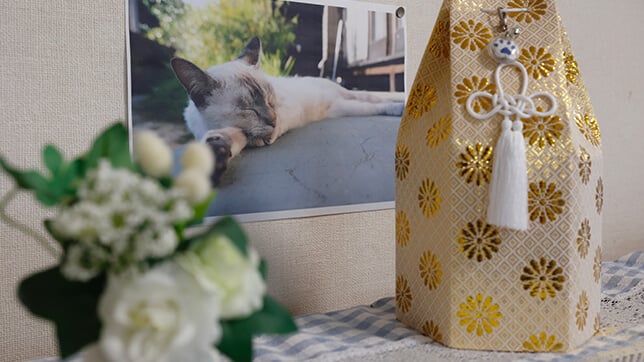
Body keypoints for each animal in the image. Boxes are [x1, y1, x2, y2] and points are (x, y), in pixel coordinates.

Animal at [171, 36, 402, 185]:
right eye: (249, 109)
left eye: (270, 100)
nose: (272, 119)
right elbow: (232, 135)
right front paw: (214, 155)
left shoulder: (283, 116)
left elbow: (250, 135)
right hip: (342, 107)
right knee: (371, 102)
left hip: (348, 102)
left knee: (376, 101)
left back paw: (399, 107)